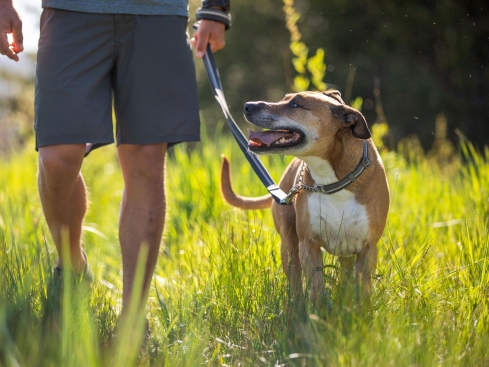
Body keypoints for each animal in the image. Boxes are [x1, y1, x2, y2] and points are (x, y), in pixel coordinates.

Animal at [220, 90, 388, 304]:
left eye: (295, 104)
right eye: (284, 98)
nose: (248, 106)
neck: (332, 181)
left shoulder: (368, 247)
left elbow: (363, 290)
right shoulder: (308, 244)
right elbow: (315, 287)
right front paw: (317, 310)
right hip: (289, 244)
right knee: (295, 280)